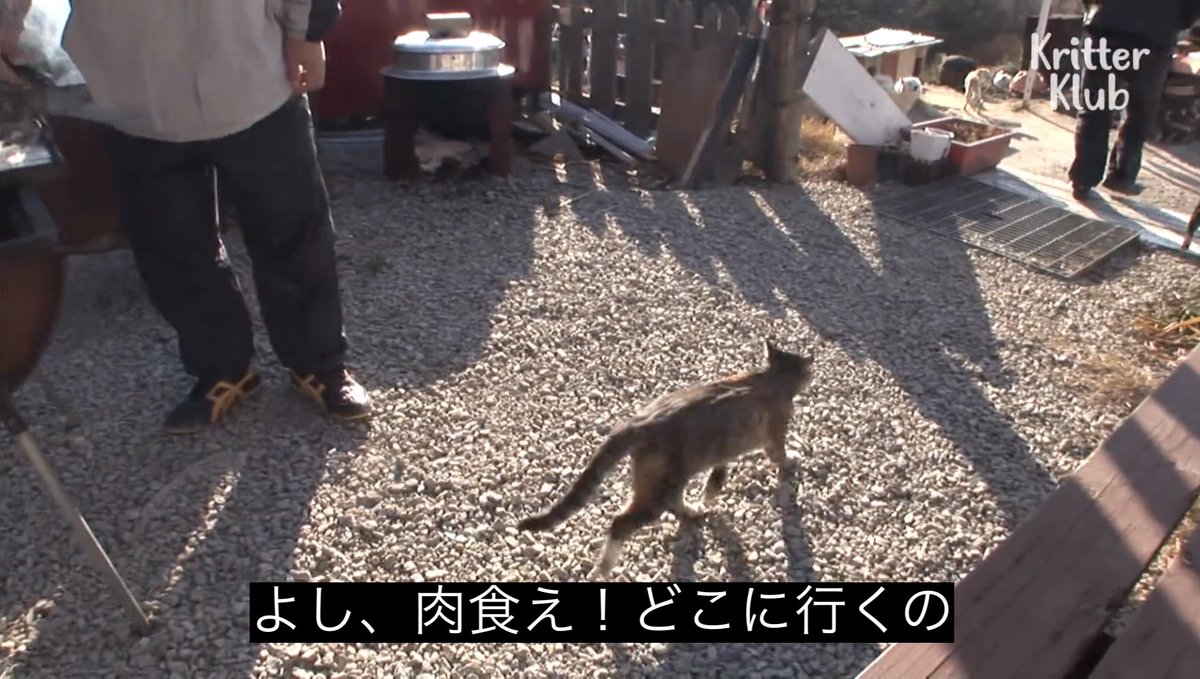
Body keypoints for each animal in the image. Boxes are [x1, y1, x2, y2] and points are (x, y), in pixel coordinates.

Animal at [516, 340, 815, 578]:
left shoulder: (723, 447)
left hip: (671, 474)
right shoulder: (775, 428)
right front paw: (791, 460)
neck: (771, 377)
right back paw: (604, 566)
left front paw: (710, 492)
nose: (812, 375)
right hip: (659, 484)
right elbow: (778, 454)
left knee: (674, 501)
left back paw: (691, 510)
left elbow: (717, 474)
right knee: (622, 522)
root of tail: (639, 422)